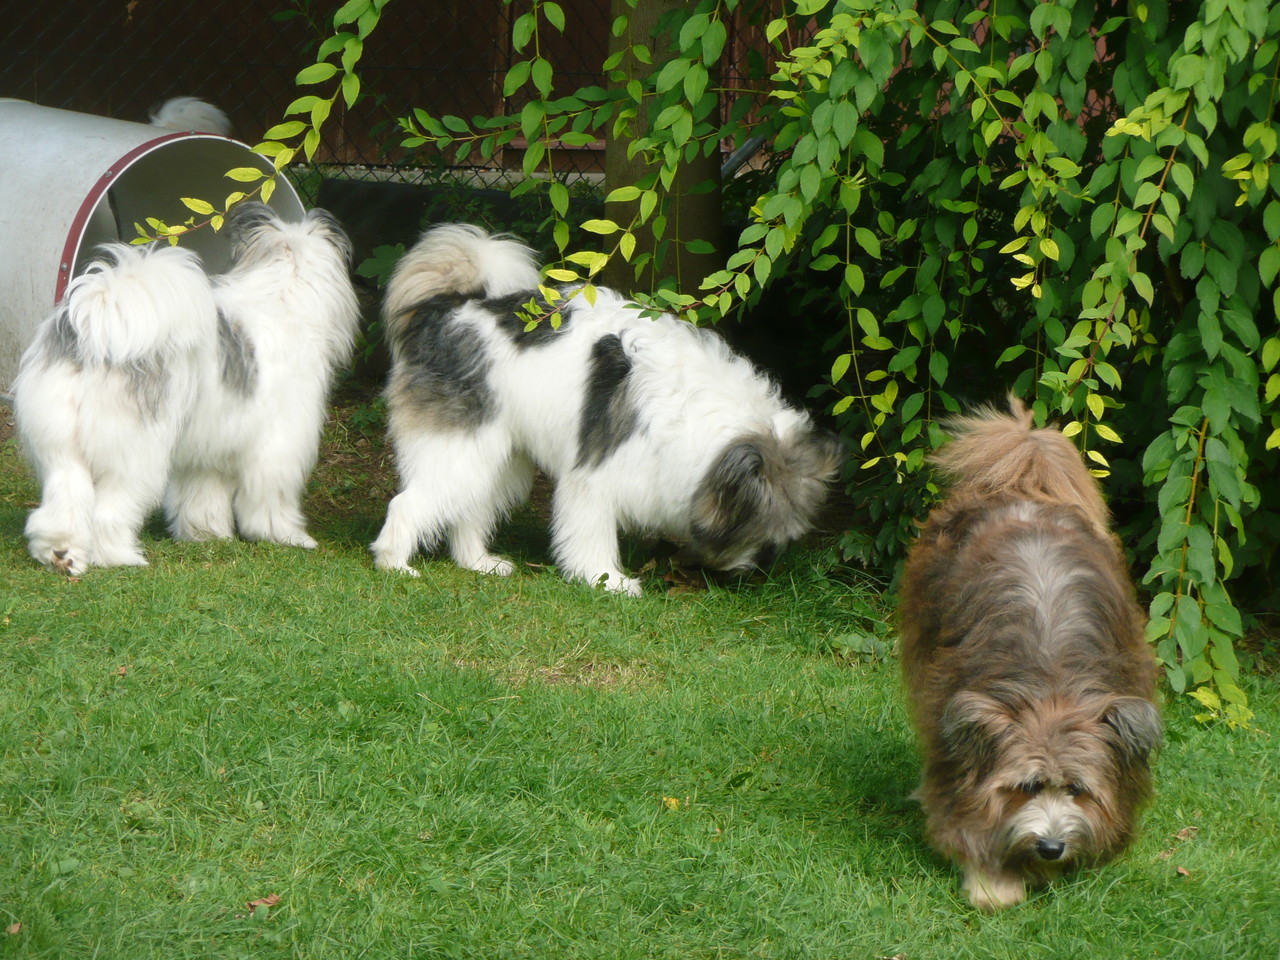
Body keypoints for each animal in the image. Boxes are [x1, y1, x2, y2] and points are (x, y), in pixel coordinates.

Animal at [13, 244, 217, 576]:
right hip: (132, 456)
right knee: (110, 510)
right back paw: (116, 556)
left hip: (60, 446)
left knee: (66, 499)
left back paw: (62, 554)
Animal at [163, 203, 360, 547]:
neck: (284, 292)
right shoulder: (278, 443)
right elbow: (271, 496)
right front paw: (285, 534)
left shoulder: (209, 445)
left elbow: (200, 496)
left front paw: (207, 535)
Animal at [373, 224, 849, 593]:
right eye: (762, 533)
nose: (761, 570)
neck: (697, 418)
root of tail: (449, 310)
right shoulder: (595, 476)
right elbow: (593, 534)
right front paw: (608, 580)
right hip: (461, 446)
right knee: (407, 504)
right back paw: (394, 562)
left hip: (497, 456)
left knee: (469, 509)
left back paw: (477, 561)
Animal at [901, 401, 1162, 911]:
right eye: (1026, 788)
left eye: (1077, 790)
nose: (1051, 847)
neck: (1052, 686)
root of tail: (1021, 484)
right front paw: (994, 881)